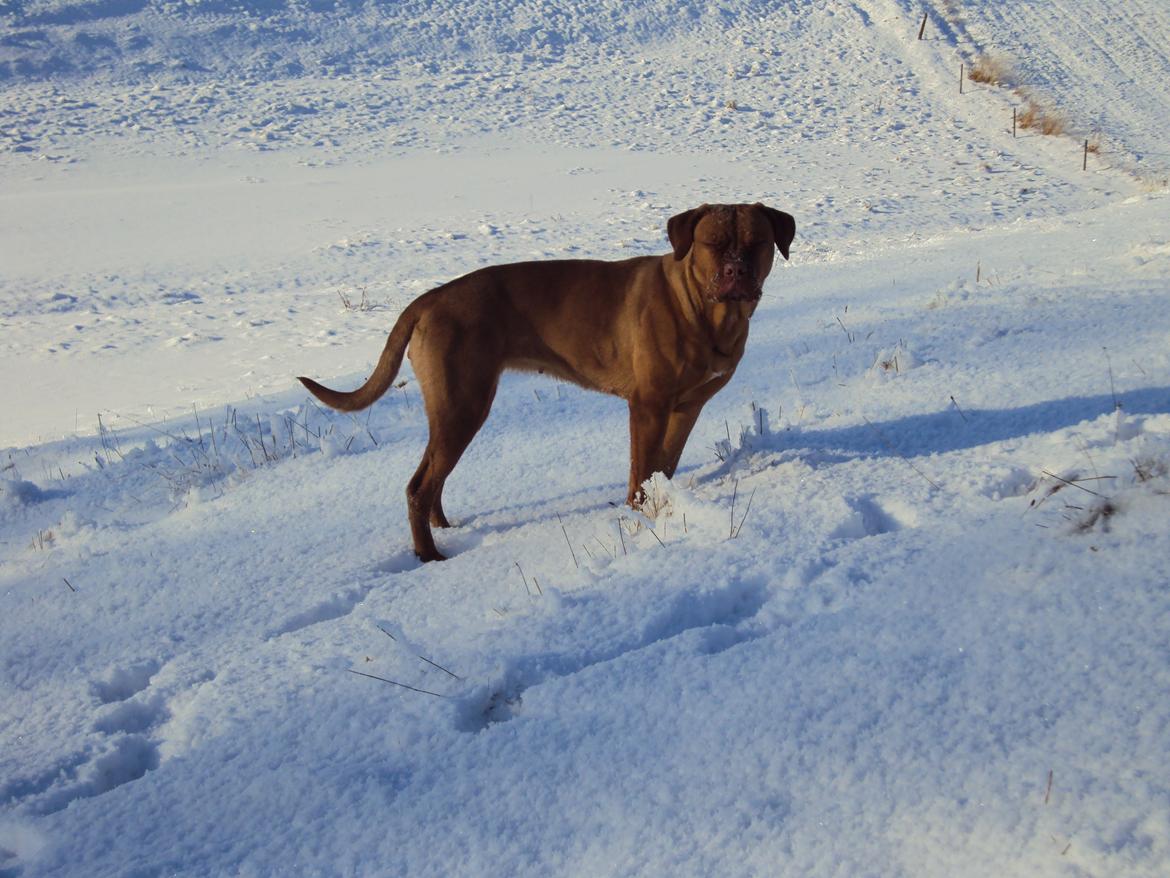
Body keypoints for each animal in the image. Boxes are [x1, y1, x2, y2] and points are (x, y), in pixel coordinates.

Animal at [299, 204, 795, 564]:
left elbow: (664, 467)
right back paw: (429, 555)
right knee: (419, 485)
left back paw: (444, 528)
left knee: (433, 478)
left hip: (455, 407)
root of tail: (427, 299)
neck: (705, 311)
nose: (736, 272)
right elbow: (641, 471)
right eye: (713, 243)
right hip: (463, 401)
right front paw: (640, 516)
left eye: (757, 243)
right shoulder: (648, 405)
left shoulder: (687, 407)